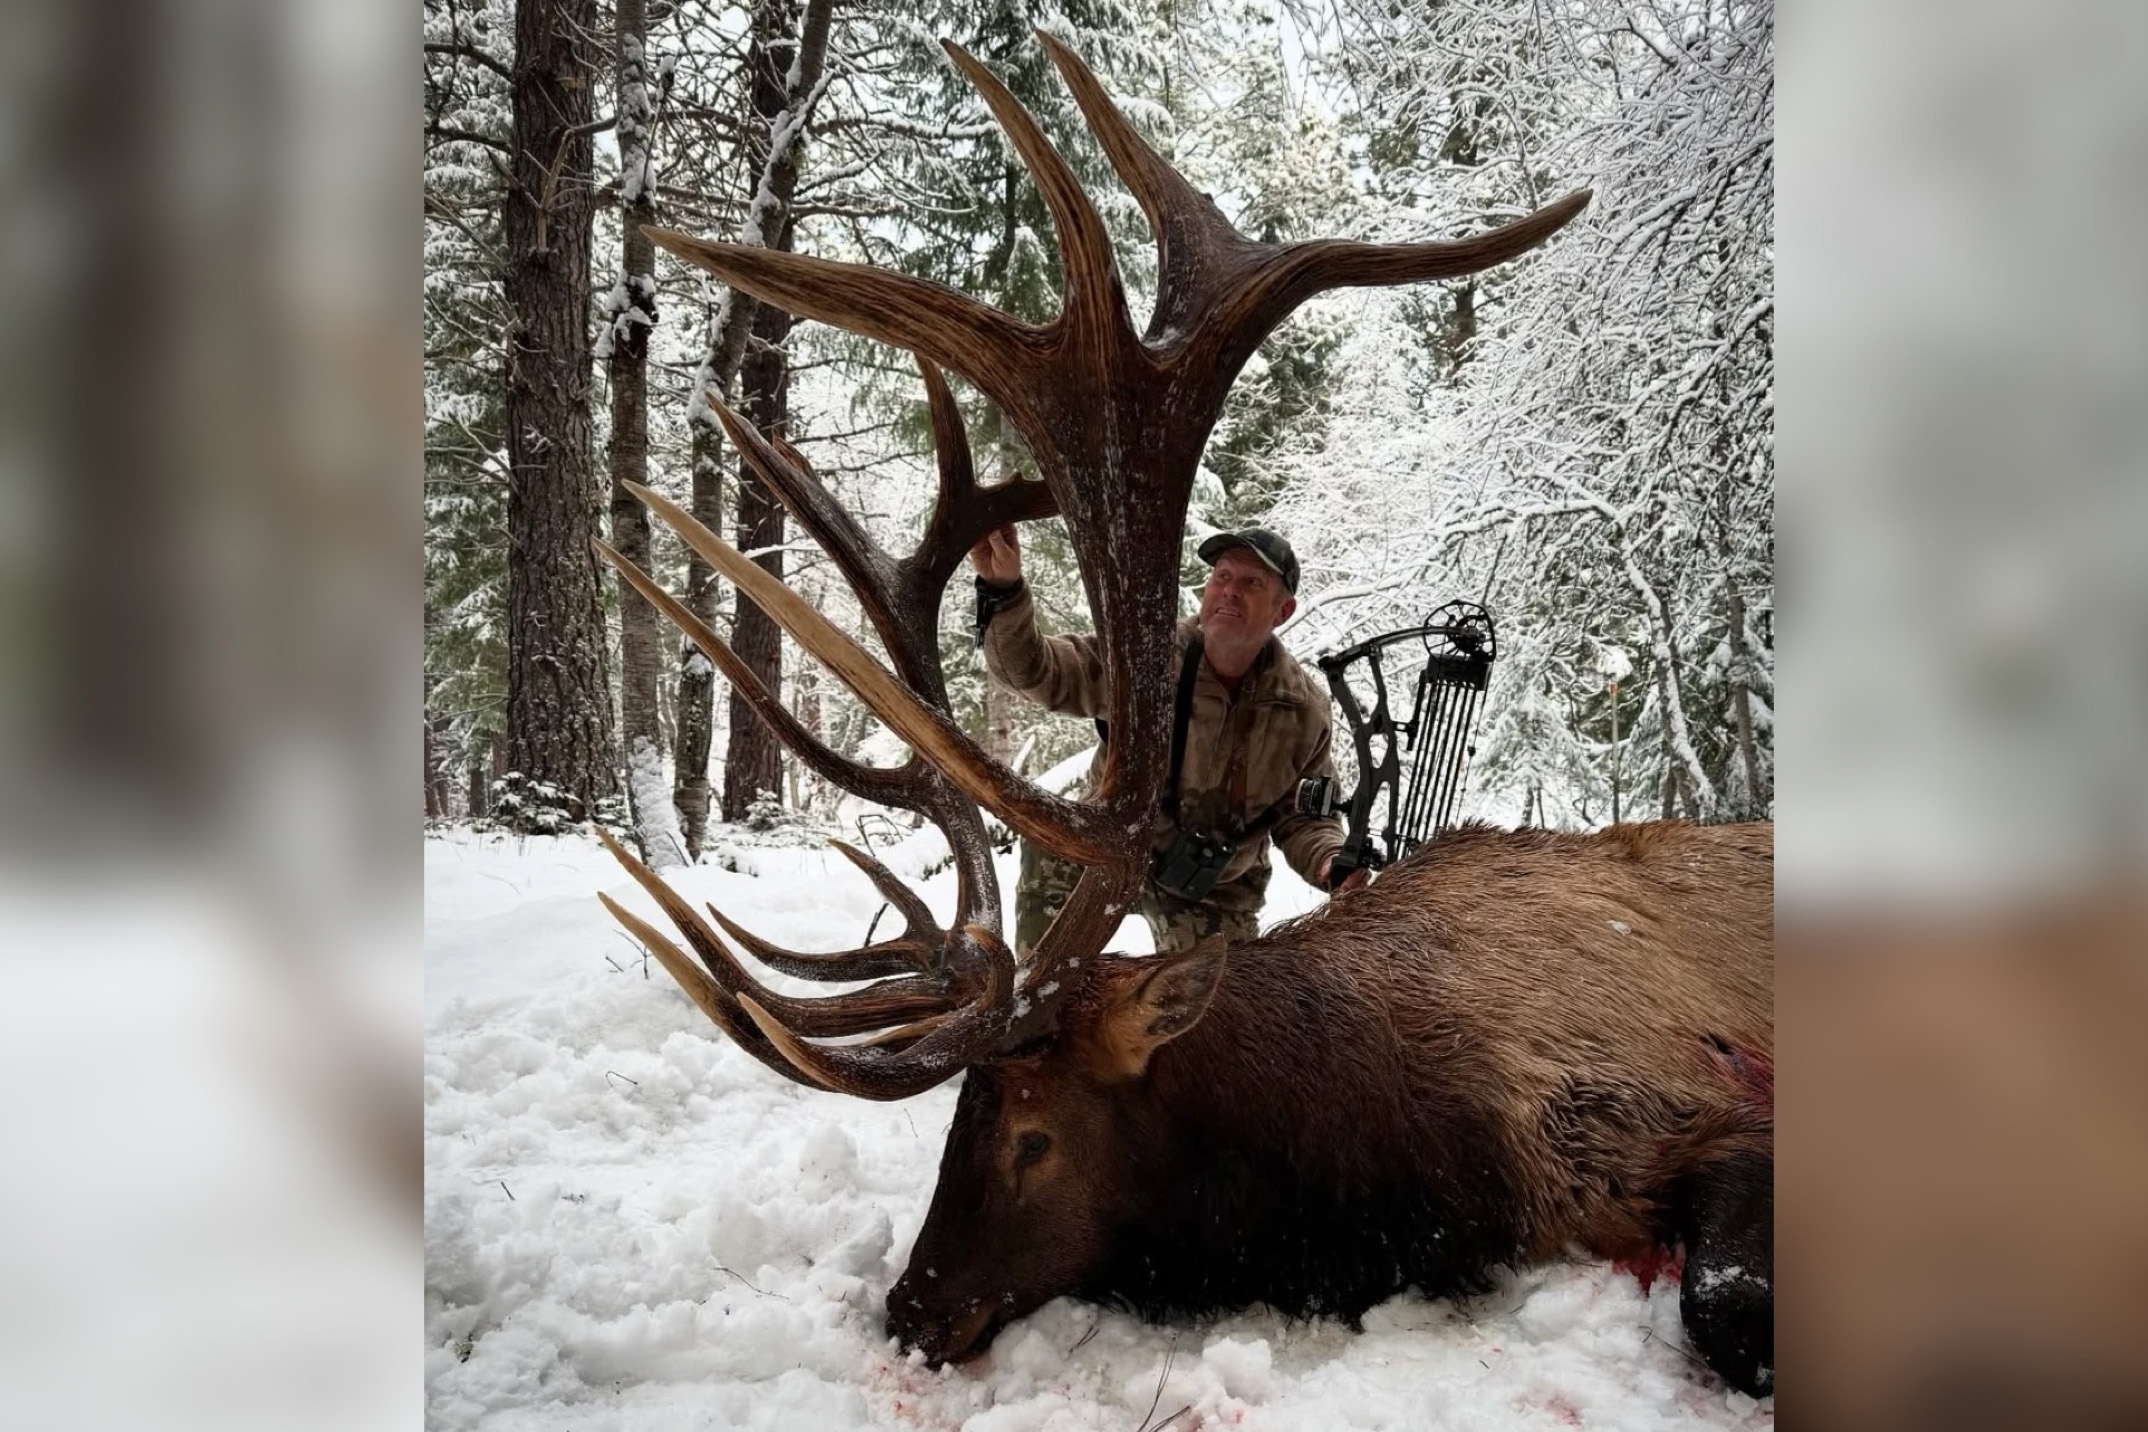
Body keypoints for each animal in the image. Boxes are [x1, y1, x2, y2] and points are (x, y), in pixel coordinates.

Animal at [589, 32, 1774, 1399]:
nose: (912, 1308)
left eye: (1033, 1134)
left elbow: (1728, 1300)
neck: (1416, 1156)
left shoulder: (1705, 1096)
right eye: (954, 1122)